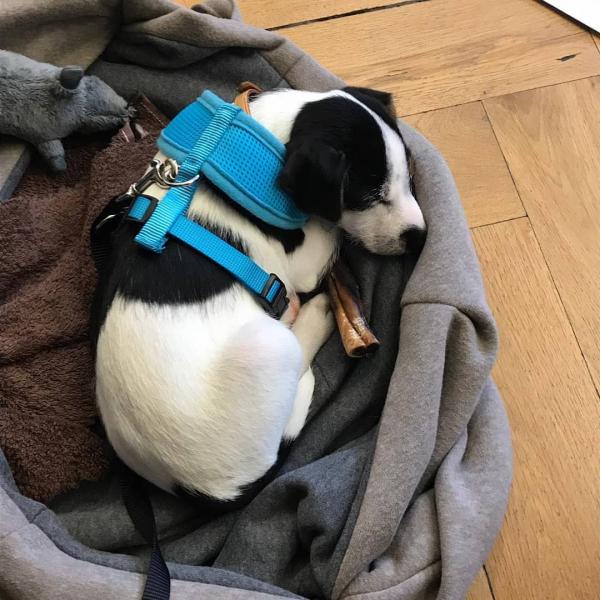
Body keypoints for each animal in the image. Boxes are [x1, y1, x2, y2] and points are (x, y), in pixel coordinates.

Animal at [92, 86, 426, 503]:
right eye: (369, 196)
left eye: (408, 177)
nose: (420, 238)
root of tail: (213, 491)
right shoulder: (305, 265)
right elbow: (328, 229)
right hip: (267, 345)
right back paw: (316, 315)